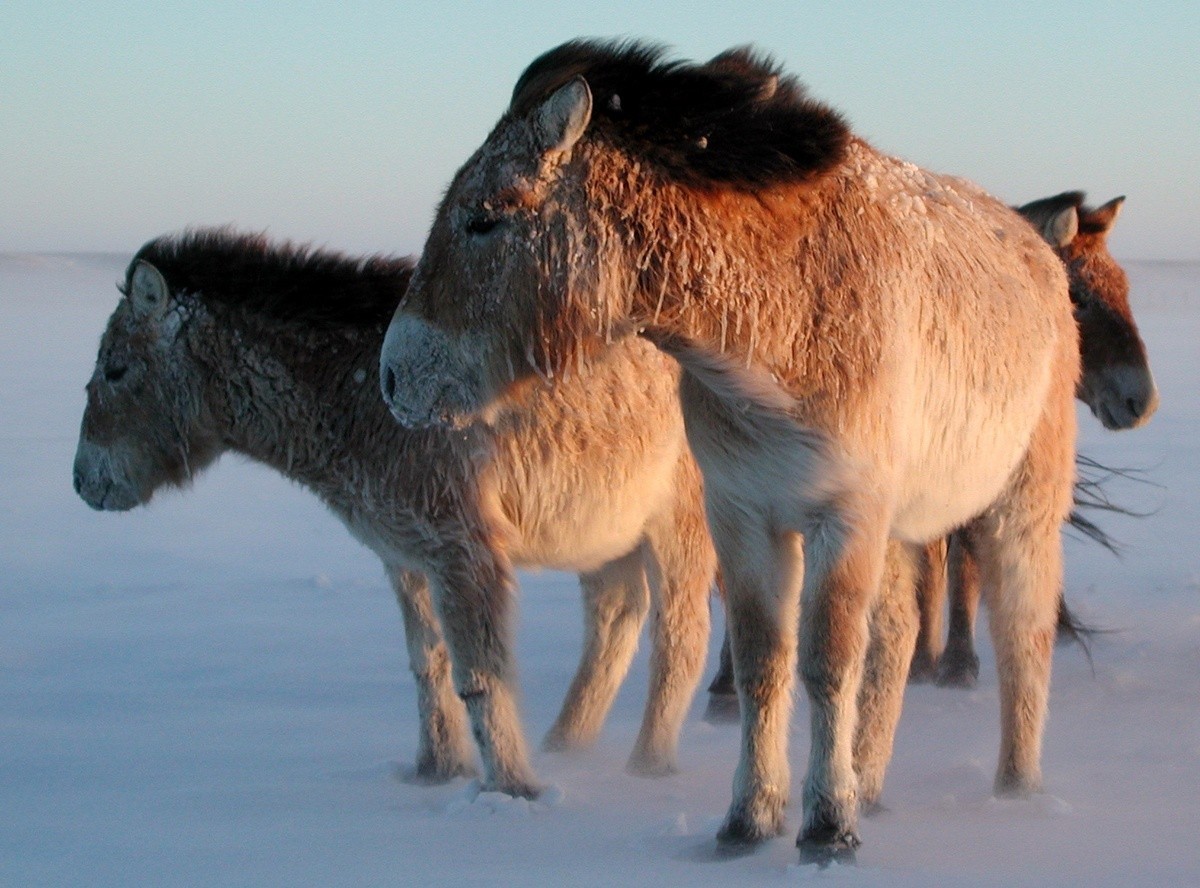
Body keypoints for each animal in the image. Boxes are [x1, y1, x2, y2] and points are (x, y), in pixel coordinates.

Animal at [75, 229, 715, 792]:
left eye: (115, 370)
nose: (83, 481)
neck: (355, 390)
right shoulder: (406, 555)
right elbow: (427, 665)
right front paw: (437, 771)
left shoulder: (463, 550)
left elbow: (481, 675)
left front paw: (512, 790)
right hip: (605, 530)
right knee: (615, 621)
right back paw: (566, 746)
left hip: (680, 522)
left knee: (681, 639)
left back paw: (646, 767)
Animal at [381, 39, 1080, 859]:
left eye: (484, 219)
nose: (392, 374)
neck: (778, 319)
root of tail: (1042, 254)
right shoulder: (744, 516)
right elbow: (762, 663)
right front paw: (751, 820)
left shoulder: (844, 515)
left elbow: (827, 663)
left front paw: (826, 829)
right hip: (902, 528)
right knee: (898, 640)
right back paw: (873, 789)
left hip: (1020, 508)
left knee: (1022, 635)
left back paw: (1015, 791)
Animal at [912, 190, 1156, 681]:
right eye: (1076, 296)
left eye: (1123, 286)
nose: (1140, 400)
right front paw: (939, 664)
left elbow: (963, 557)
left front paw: (953, 662)